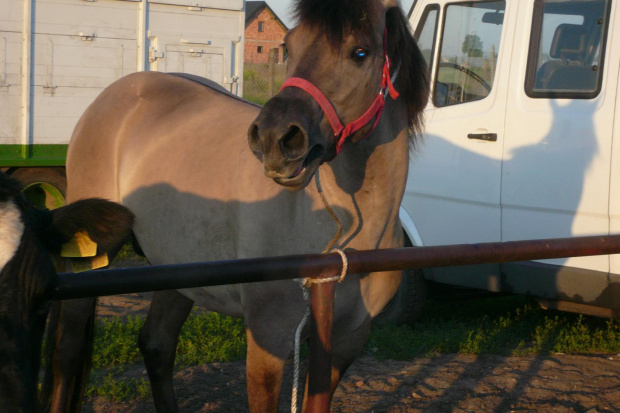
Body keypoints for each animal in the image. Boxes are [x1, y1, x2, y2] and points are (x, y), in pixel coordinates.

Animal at [47, 1, 426, 410]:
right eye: (289, 46)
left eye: (359, 53)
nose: (275, 137)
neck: (342, 234)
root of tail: (115, 94)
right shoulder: (268, 342)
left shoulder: (345, 344)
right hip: (91, 261)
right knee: (68, 350)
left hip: (177, 270)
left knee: (156, 345)